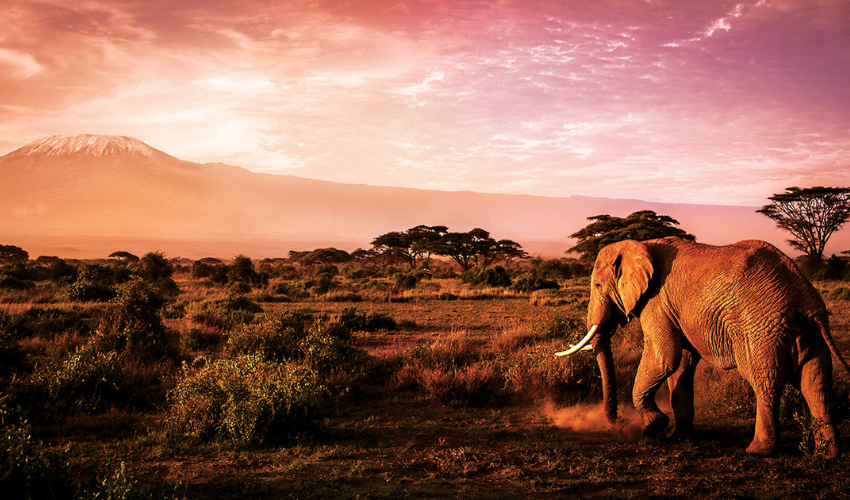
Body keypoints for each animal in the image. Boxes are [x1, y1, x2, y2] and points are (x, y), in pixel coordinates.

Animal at [552, 236, 848, 458]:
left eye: (598, 285)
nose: (619, 424)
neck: (639, 244)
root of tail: (807, 300)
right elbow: (681, 364)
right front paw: (678, 436)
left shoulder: (656, 301)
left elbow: (664, 356)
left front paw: (654, 427)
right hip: (807, 332)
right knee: (816, 383)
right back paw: (827, 455)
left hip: (762, 329)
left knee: (765, 382)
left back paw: (757, 451)